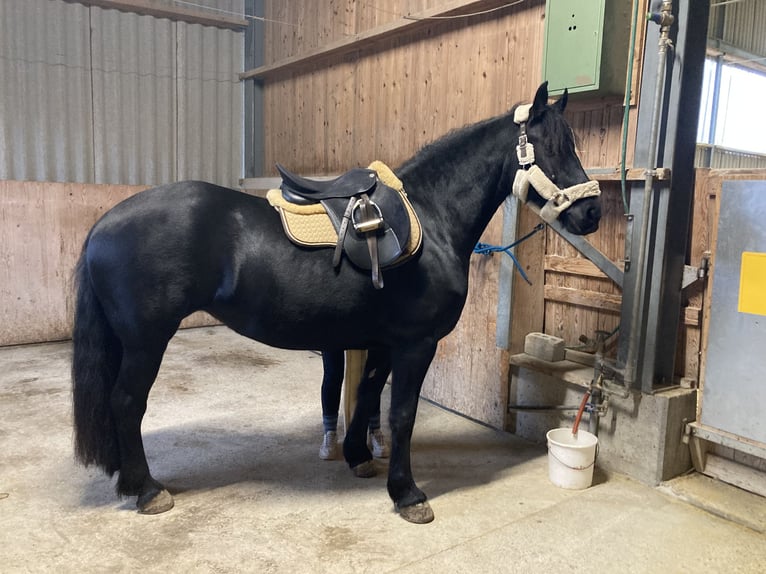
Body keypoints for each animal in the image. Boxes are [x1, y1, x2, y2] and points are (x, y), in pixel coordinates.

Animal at [70, 82, 600, 528]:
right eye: (553, 147)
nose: (592, 212)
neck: (432, 219)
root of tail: (105, 223)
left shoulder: (382, 343)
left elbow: (366, 397)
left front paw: (359, 457)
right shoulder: (417, 344)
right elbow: (401, 414)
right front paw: (407, 494)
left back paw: (130, 481)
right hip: (146, 341)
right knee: (126, 402)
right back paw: (147, 490)